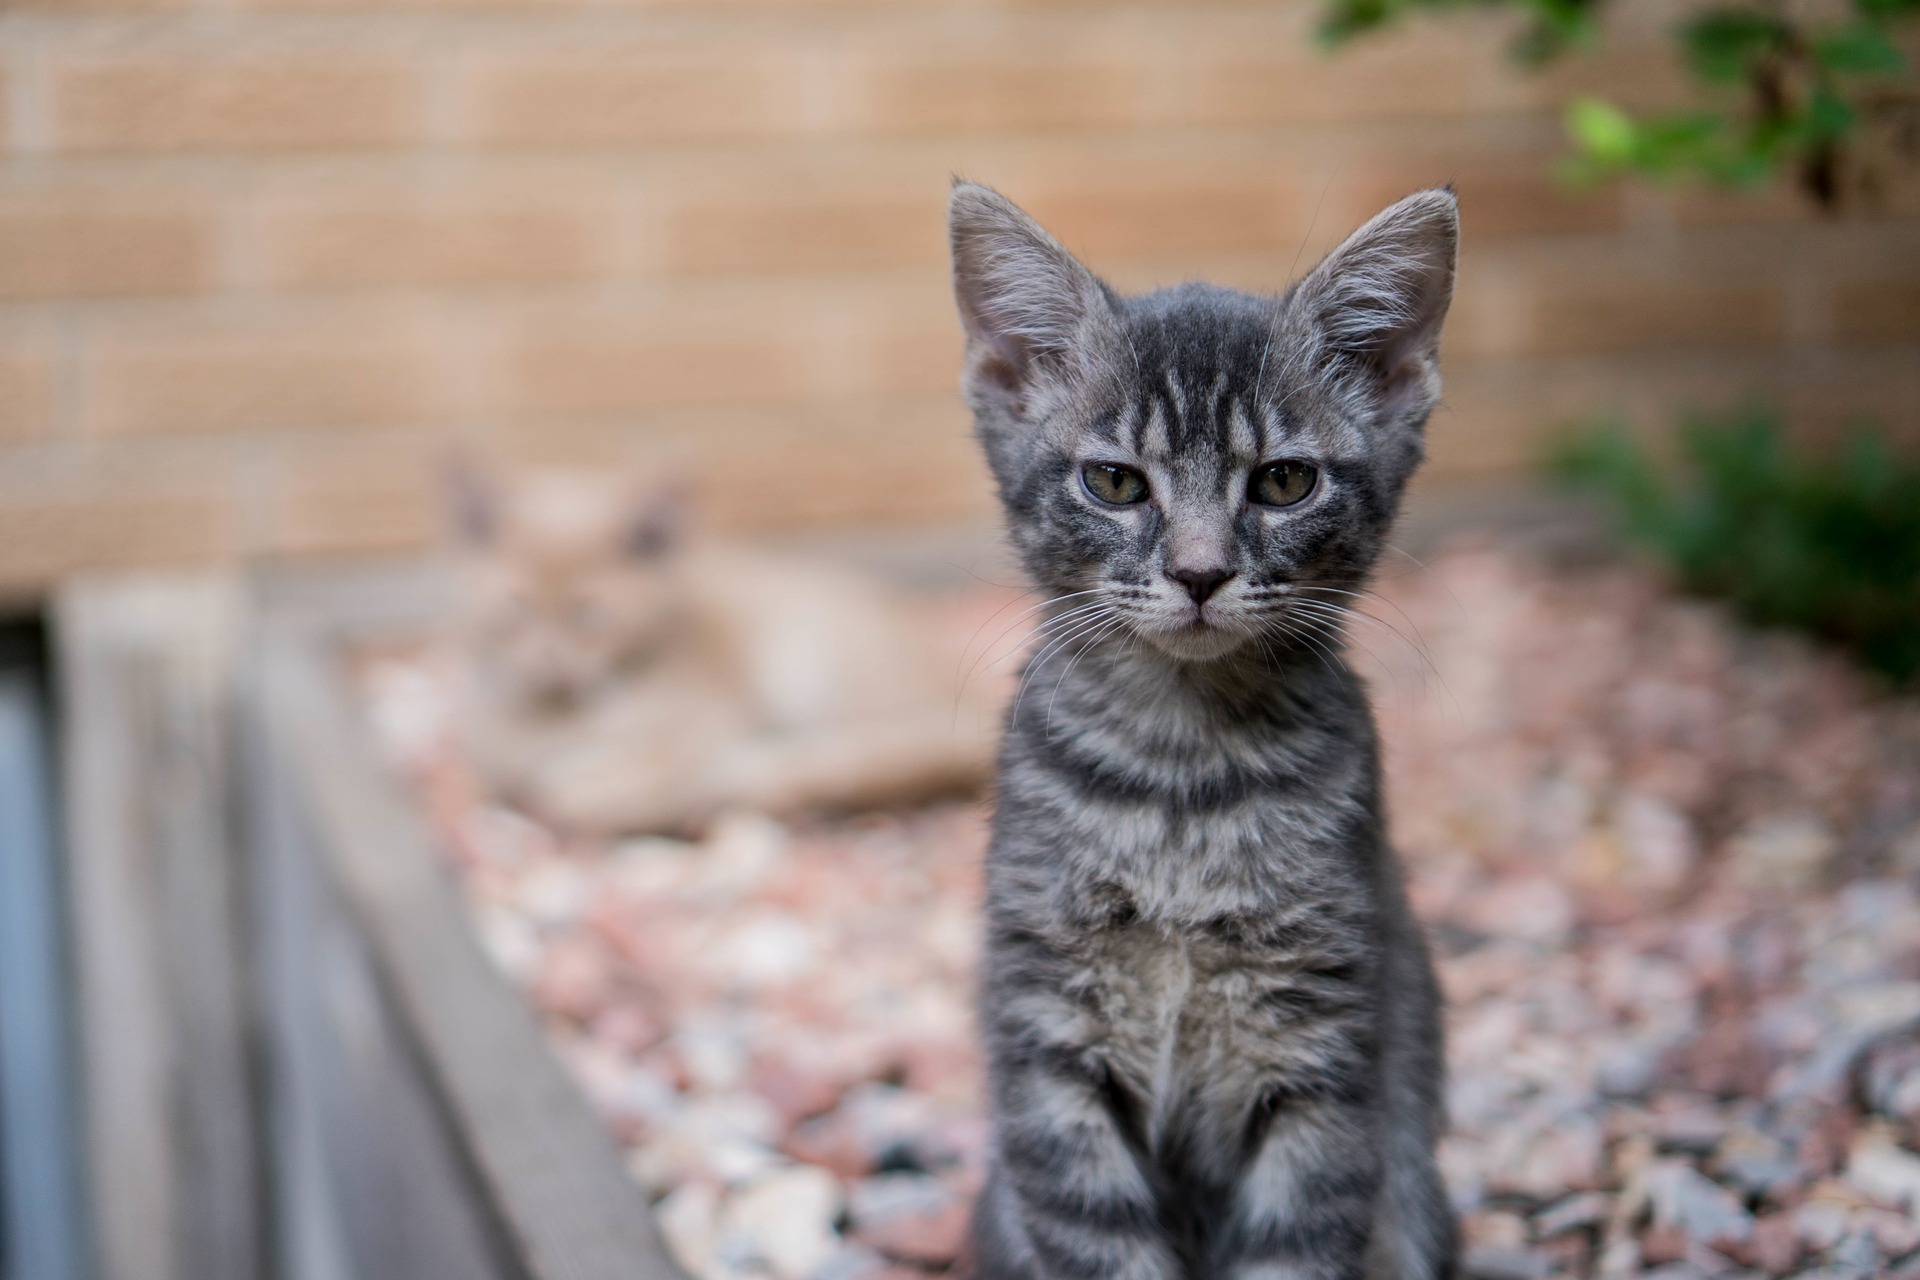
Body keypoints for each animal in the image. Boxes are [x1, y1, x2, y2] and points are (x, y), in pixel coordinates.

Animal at [952, 182, 1459, 1280]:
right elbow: (1100, 1240)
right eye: (1114, 482)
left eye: (1282, 482)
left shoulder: (1324, 1040)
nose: (1197, 571)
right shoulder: (1047, 1034)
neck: (1182, 773)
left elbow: (1296, 1237)